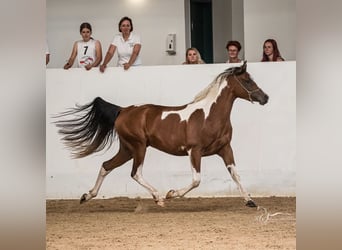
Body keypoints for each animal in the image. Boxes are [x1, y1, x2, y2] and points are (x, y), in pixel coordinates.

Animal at [54, 61, 268, 208]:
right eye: (247, 80)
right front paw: (171, 194)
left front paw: (250, 201)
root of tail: (123, 110)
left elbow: (235, 174)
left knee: (106, 166)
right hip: (139, 147)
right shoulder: (194, 151)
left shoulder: (225, 148)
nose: (265, 97)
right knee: (135, 173)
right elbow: (196, 180)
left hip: (127, 149)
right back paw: (158, 197)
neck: (209, 115)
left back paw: (87, 196)